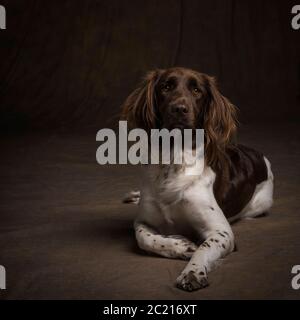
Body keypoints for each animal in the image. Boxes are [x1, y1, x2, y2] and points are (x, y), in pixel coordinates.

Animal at [120, 67, 274, 290]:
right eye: (166, 87)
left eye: (196, 90)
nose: (179, 109)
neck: (173, 161)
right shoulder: (143, 221)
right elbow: (145, 238)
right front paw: (181, 245)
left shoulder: (222, 232)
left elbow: (205, 247)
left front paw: (192, 271)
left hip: (260, 204)